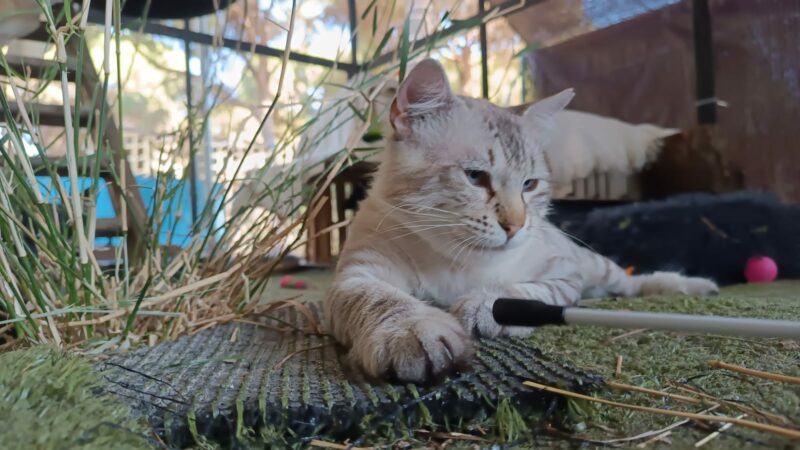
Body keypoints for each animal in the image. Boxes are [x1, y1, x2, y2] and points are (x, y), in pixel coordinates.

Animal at [324, 59, 720, 384]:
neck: (457, 261)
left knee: (629, 282)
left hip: (595, 267)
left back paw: (692, 286)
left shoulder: (563, 277)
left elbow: (523, 293)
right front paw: (412, 331)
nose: (515, 225)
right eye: (475, 177)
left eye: (530, 184)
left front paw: (485, 305)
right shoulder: (357, 275)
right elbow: (381, 299)